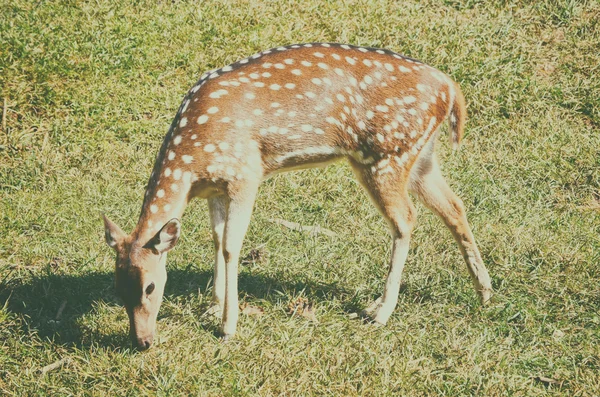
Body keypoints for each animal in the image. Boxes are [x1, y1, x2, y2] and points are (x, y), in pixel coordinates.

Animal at [104, 41, 492, 348]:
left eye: (150, 287)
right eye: (117, 287)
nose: (142, 341)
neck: (190, 165)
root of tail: (451, 89)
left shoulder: (245, 173)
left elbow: (231, 245)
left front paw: (228, 325)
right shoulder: (216, 188)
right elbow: (215, 238)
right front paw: (213, 305)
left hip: (384, 156)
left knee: (406, 219)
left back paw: (380, 311)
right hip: (420, 157)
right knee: (454, 205)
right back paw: (484, 290)